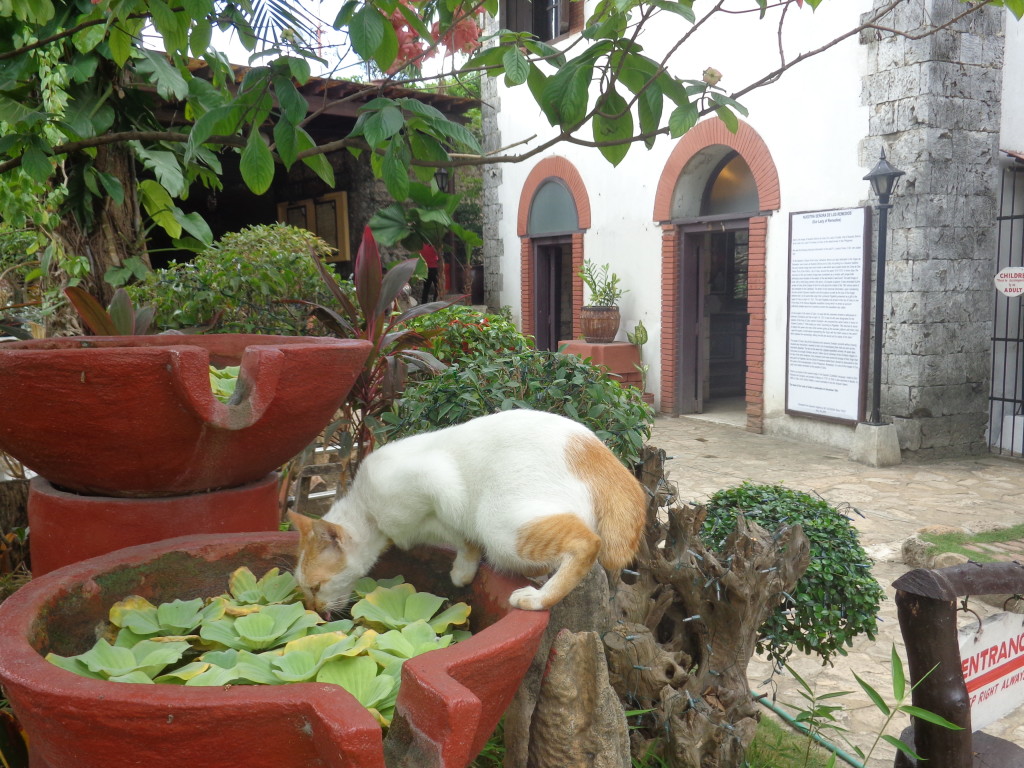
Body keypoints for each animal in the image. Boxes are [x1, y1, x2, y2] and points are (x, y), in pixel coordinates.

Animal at [284, 411, 643, 618]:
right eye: (304, 590)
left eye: (316, 587)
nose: (313, 609)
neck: (368, 509)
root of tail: (597, 450)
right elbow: (464, 541)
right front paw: (464, 570)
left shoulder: (440, 488)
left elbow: (462, 534)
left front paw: (462, 570)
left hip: (499, 524)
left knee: (588, 543)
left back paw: (539, 598)